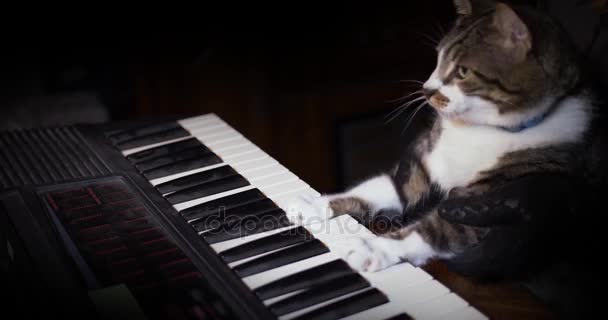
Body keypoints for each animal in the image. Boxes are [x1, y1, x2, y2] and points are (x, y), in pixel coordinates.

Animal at [288, 0, 604, 304]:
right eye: (438, 60)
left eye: (463, 71)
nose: (426, 90)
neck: (481, 130)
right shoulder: (421, 169)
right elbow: (375, 189)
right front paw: (315, 205)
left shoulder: (486, 198)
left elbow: (434, 230)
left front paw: (375, 247)